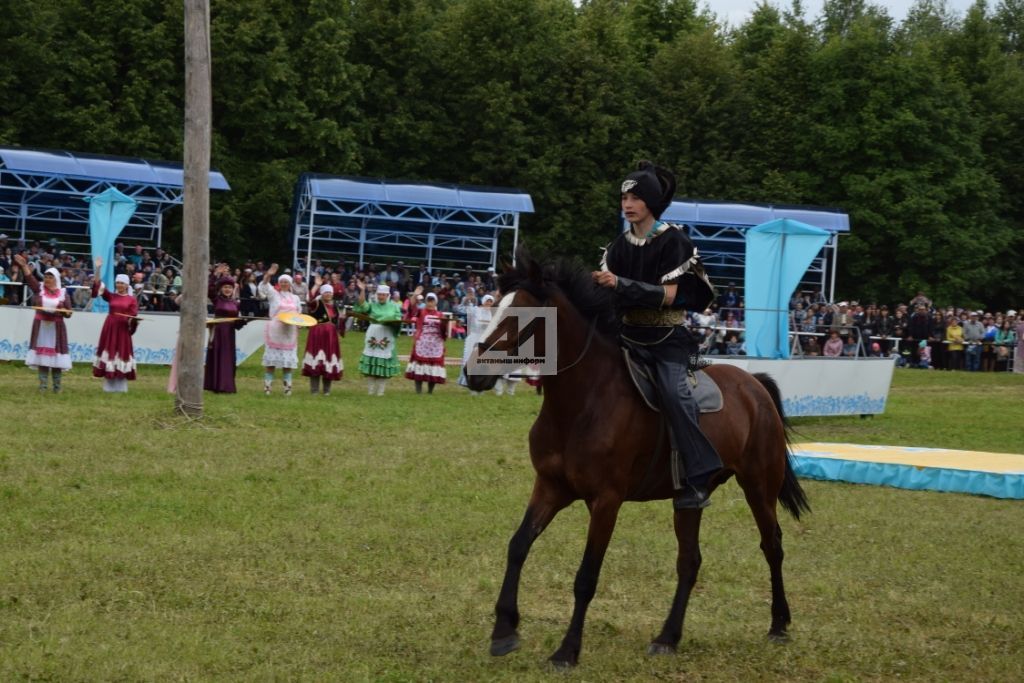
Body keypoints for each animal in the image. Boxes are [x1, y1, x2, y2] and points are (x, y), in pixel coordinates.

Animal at [468, 254, 811, 667]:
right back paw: (668, 637)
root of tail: (755, 385)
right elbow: (518, 545)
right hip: (690, 498)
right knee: (690, 561)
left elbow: (586, 576)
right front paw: (504, 630)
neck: (583, 401)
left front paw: (567, 650)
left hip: (759, 486)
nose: (472, 372)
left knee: (772, 546)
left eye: (522, 315)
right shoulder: (550, 488)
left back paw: (778, 624)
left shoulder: (606, 501)